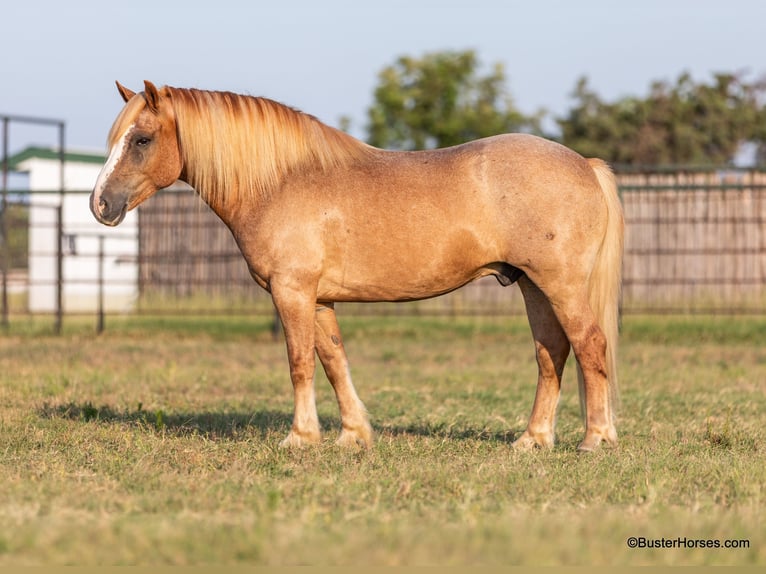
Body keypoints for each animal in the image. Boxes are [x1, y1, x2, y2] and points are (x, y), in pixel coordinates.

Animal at [93, 81, 628, 454]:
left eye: (141, 140)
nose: (101, 204)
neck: (281, 181)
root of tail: (584, 164)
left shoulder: (292, 291)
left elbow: (300, 362)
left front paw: (300, 437)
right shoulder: (319, 298)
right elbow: (333, 361)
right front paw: (353, 434)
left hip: (560, 285)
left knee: (590, 345)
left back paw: (595, 439)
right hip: (534, 286)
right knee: (551, 353)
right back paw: (532, 440)